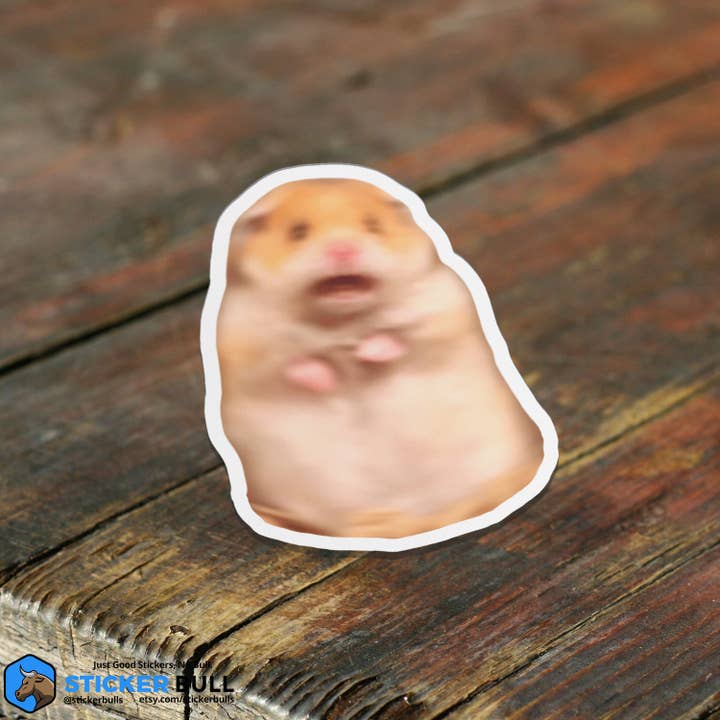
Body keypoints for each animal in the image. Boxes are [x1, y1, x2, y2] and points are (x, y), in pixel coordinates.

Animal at [217, 178, 543, 538]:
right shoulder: (242, 341)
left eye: (373, 226)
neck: (343, 320)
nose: (343, 249)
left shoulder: (443, 308)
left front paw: (365, 353)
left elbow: (403, 337)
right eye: (297, 232)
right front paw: (329, 376)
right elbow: (291, 363)